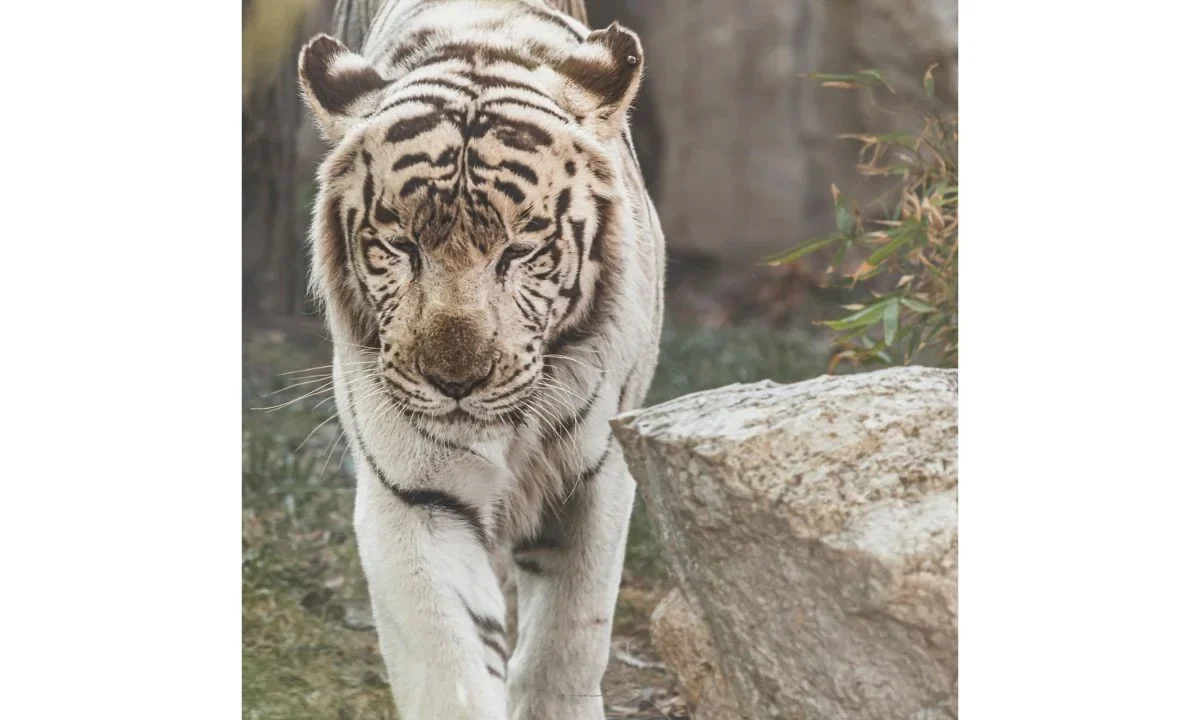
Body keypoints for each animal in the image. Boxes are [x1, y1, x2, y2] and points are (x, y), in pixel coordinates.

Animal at [296, 0, 664, 717]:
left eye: (519, 250)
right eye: (400, 245)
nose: (455, 380)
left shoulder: (595, 475)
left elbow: (569, 638)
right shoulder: (414, 494)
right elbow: (449, 660)